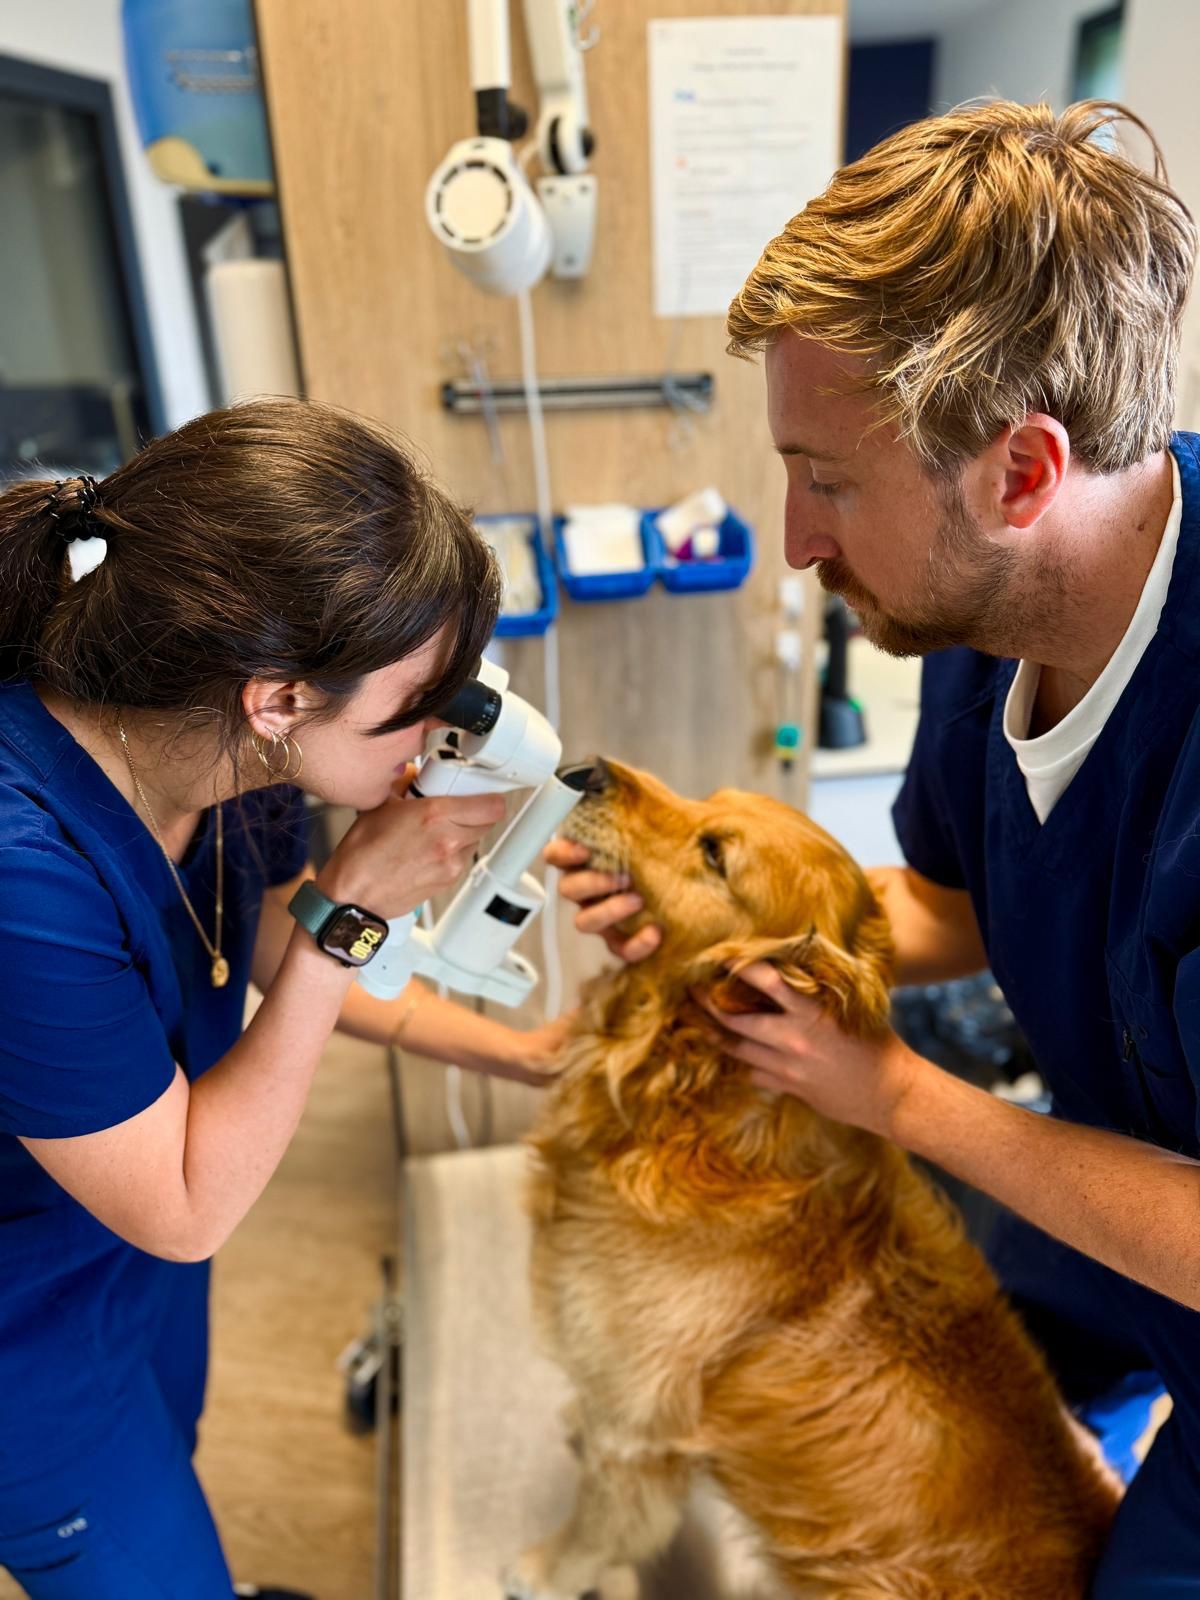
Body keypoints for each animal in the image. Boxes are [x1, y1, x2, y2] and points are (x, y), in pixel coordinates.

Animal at [503, 758, 1120, 1600]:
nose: (584, 769)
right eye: (707, 800)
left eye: (715, 853)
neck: (694, 1097)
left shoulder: (638, 1426)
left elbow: (599, 1524)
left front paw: (543, 1569)